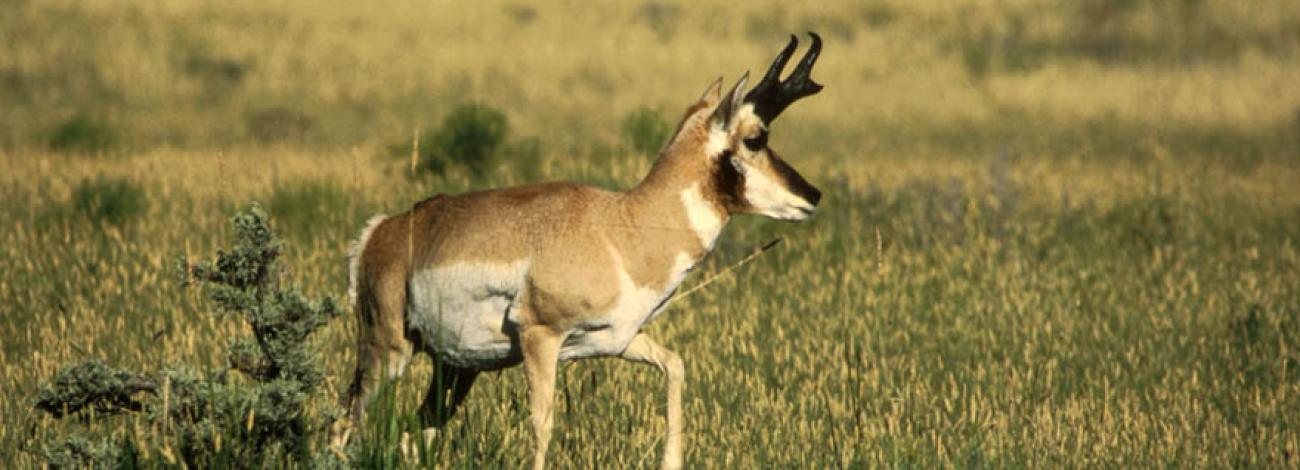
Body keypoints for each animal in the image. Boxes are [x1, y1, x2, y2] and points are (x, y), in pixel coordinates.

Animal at [332, 32, 821, 467]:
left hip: (456, 368)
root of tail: (383, 230)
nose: (812, 194)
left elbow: (675, 366)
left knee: (414, 435)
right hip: (388, 350)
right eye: (756, 137)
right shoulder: (541, 337)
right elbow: (542, 425)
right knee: (344, 422)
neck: (621, 227)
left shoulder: (619, 339)